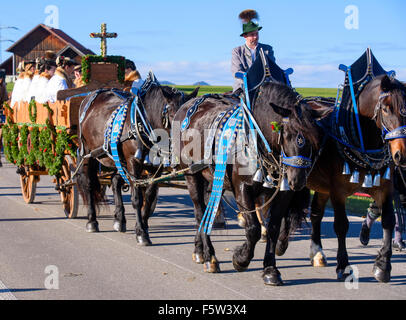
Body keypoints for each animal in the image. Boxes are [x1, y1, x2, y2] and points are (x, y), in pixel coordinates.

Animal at [75, 78, 199, 245]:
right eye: (173, 115)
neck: (142, 123)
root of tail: (92, 95)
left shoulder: (155, 167)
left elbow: (149, 196)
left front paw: (143, 227)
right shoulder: (133, 163)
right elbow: (137, 199)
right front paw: (141, 232)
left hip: (116, 158)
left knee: (115, 181)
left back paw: (119, 219)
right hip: (88, 153)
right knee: (88, 183)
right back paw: (92, 221)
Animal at [171, 80, 334, 284]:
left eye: (315, 139)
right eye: (287, 133)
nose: (297, 180)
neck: (255, 139)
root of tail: (187, 106)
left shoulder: (283, 193)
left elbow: (272, 228)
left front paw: (271, 270)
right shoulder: (242, 188)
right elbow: (253, 229)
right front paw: (240, 259)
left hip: (212, 178)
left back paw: (199, 250)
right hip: (192, 175)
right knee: (200, 212)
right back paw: (210, 256)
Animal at [276, 74, 406, 282]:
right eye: (386, 108)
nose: (401, 154)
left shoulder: (385, 187)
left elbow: (388, 220)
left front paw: (383, 265)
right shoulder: (338, 190)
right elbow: (341, 225)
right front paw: (343, 265)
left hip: (320, 185)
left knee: (315, 214)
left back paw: (317, 252)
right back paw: (279, 241)